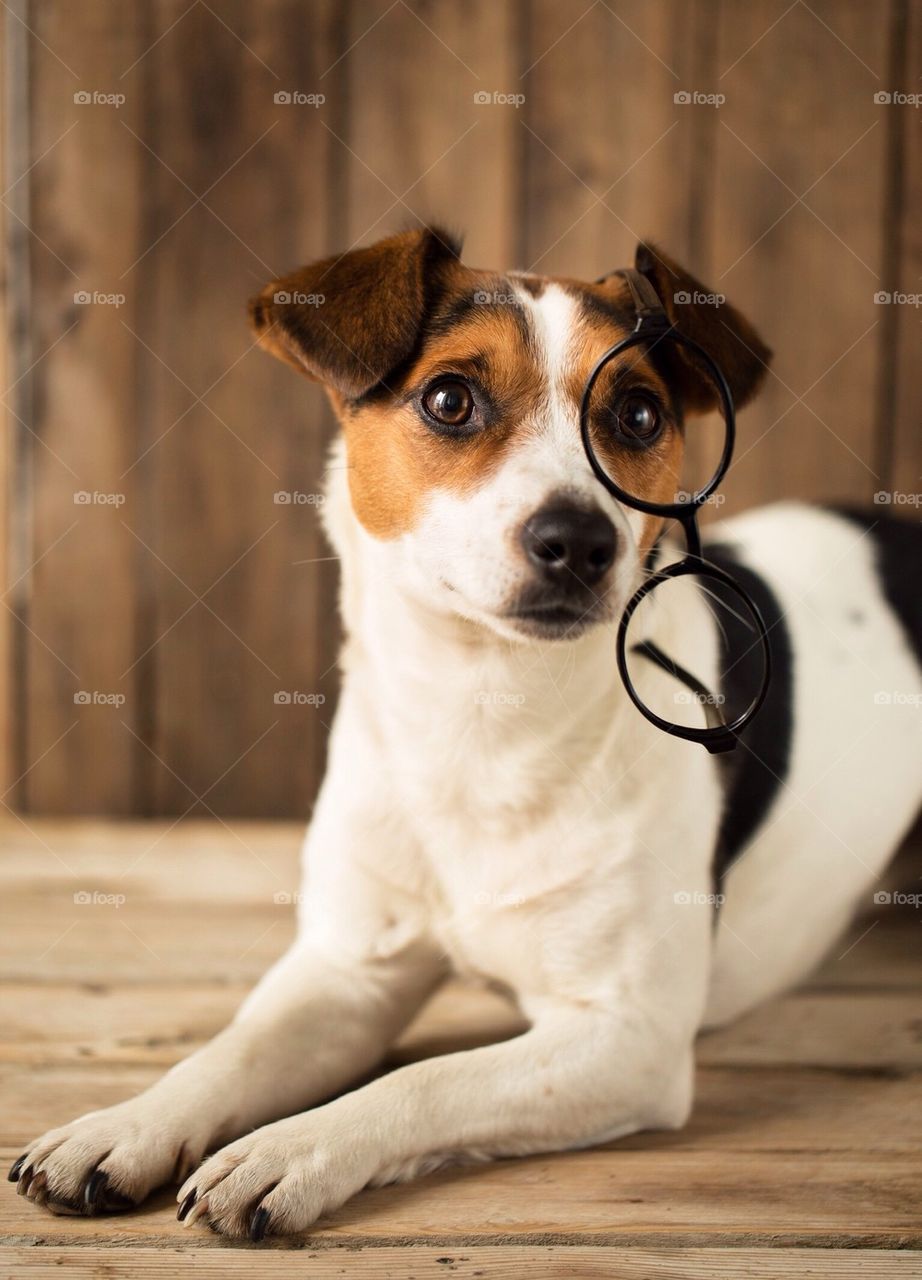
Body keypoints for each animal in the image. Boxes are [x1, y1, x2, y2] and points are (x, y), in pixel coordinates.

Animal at [9, 227, 922, 1239]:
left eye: (639, 414)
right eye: (450, 399)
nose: (580, 540)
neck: (483, 717)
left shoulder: (626, 1037)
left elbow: (424, 1079)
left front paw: (291, 1149)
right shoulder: (348, 968)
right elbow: (233, 1049)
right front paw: (127, 1122)